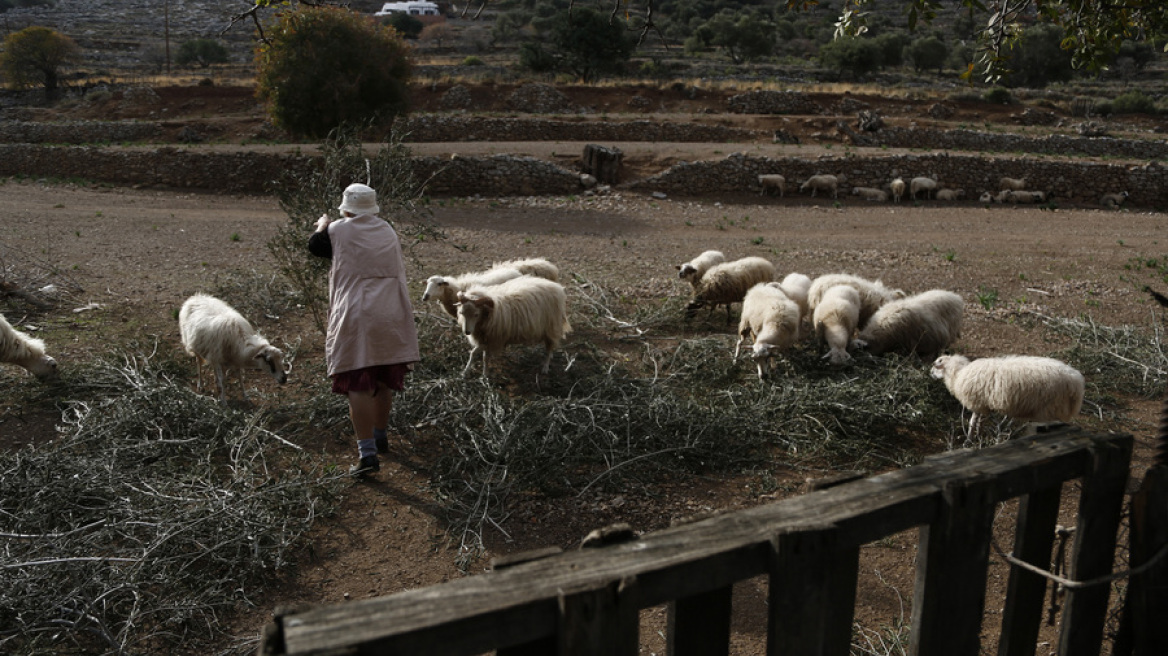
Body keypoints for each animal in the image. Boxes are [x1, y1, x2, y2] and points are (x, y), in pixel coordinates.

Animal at [929, 352, 1083, 434]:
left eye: (937, 366)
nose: (929, 373)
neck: (958, 374)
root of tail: (1076, 381)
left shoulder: (976, 402)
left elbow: (972, 421)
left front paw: (969, 439)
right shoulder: (983, 403)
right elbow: (979, 420)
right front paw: (978, 435)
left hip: (1052, 406)